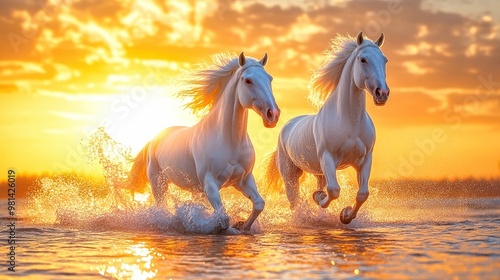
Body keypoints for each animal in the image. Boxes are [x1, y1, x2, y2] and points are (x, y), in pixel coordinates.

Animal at [128, 52, 282, 232]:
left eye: (270, 79)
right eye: (248, 80)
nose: (273, 114)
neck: (230, 141)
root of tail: (154, 138)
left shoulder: (244, 180)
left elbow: (259, 204)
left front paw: (242, 224)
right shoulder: (209, 183)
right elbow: (223, 218)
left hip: (194, 189)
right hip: (158, 182)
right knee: (161, 207)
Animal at [264, 32, 388, 224]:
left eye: (384, 60)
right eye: (363, 59)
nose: (382, 93)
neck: (350, 122)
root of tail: (287, 127)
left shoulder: (365, 160)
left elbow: (362, 194)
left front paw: (345, 215)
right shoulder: (328, 157)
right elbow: (333, 190)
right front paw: (319, 198)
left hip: (318, 171)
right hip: (291, 174)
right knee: (294, 201)